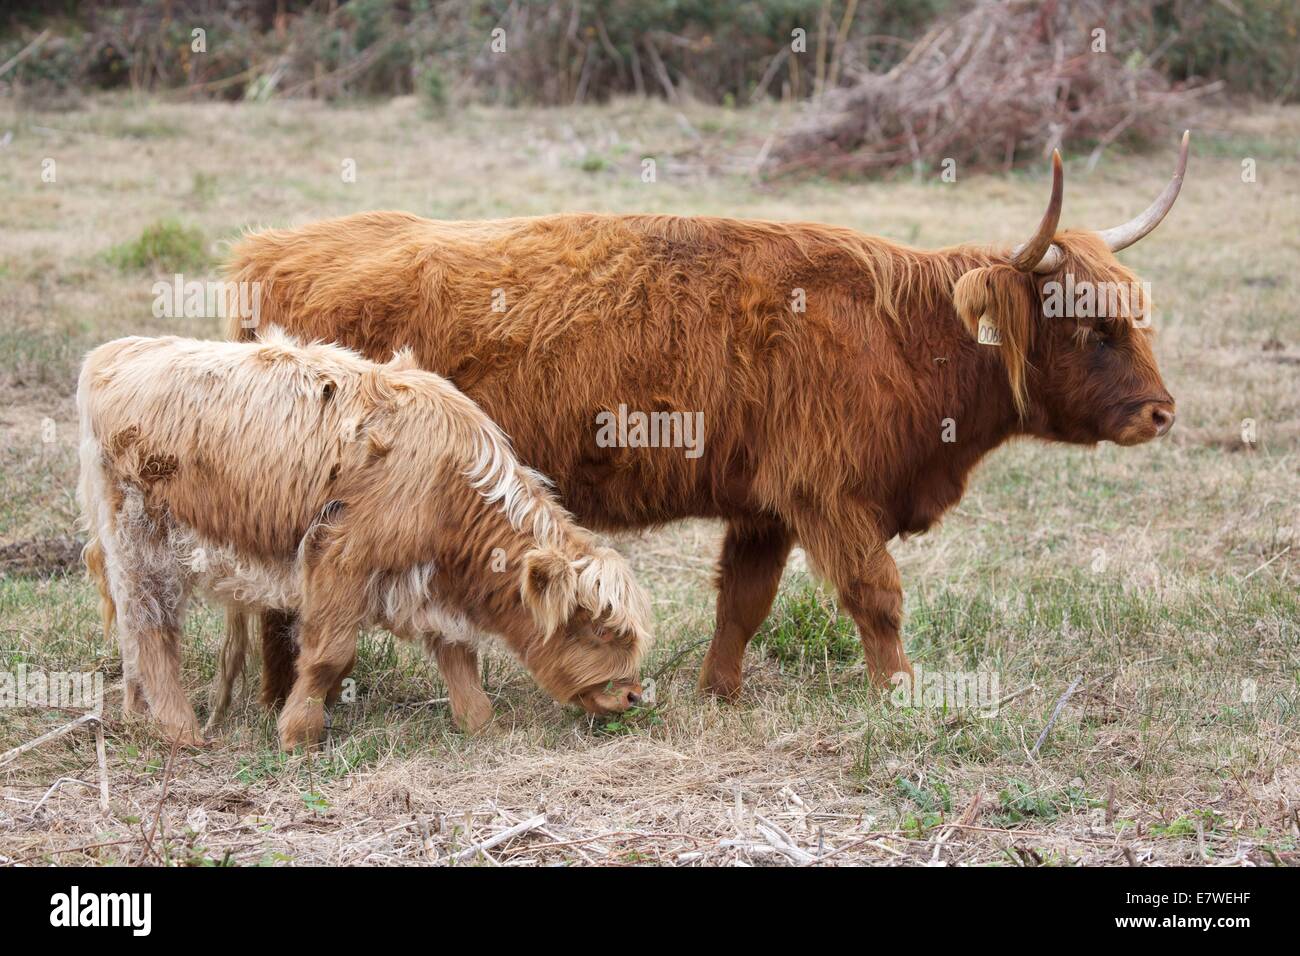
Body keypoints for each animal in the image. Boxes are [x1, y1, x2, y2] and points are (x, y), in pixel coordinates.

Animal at [78, 332, 652, 749]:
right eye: (599, 630)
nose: (632, 695)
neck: (448, 484)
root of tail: (115, 351)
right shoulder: (341, 558)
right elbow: (330, 656)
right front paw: (298, 735)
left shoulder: (426, 579)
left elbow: (458, 653)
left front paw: (480, 724)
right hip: (144, 541)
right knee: (152, 629)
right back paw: (182, 733)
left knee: (132, 630)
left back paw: (137, 716)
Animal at [222, 134, 1188, 707]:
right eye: (1093, 328)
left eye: (1135, 315)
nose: (1161, 412)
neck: (905, 338)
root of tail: (274, 248)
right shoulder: (832, 494)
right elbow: (877, 597)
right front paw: (903, 691)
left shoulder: (767, 504)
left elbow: (744, 603)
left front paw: (718, 691)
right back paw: (283, 699)